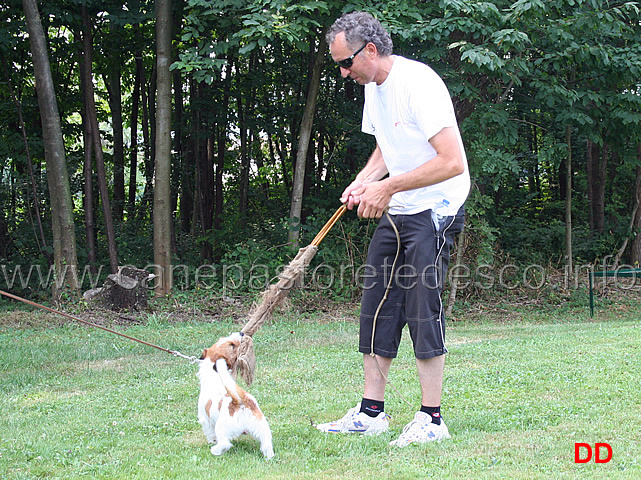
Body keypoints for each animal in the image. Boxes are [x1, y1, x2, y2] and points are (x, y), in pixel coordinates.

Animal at [196, 332, 274, 460]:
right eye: (231, 344)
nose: (241, 333)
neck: (214, 375)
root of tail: (240, 401)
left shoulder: (205, 419)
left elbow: (209, 433)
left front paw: (211, 442)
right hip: (263, 427)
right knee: (267, 444)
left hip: (221, 428)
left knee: (225, 444)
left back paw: (215, 450)